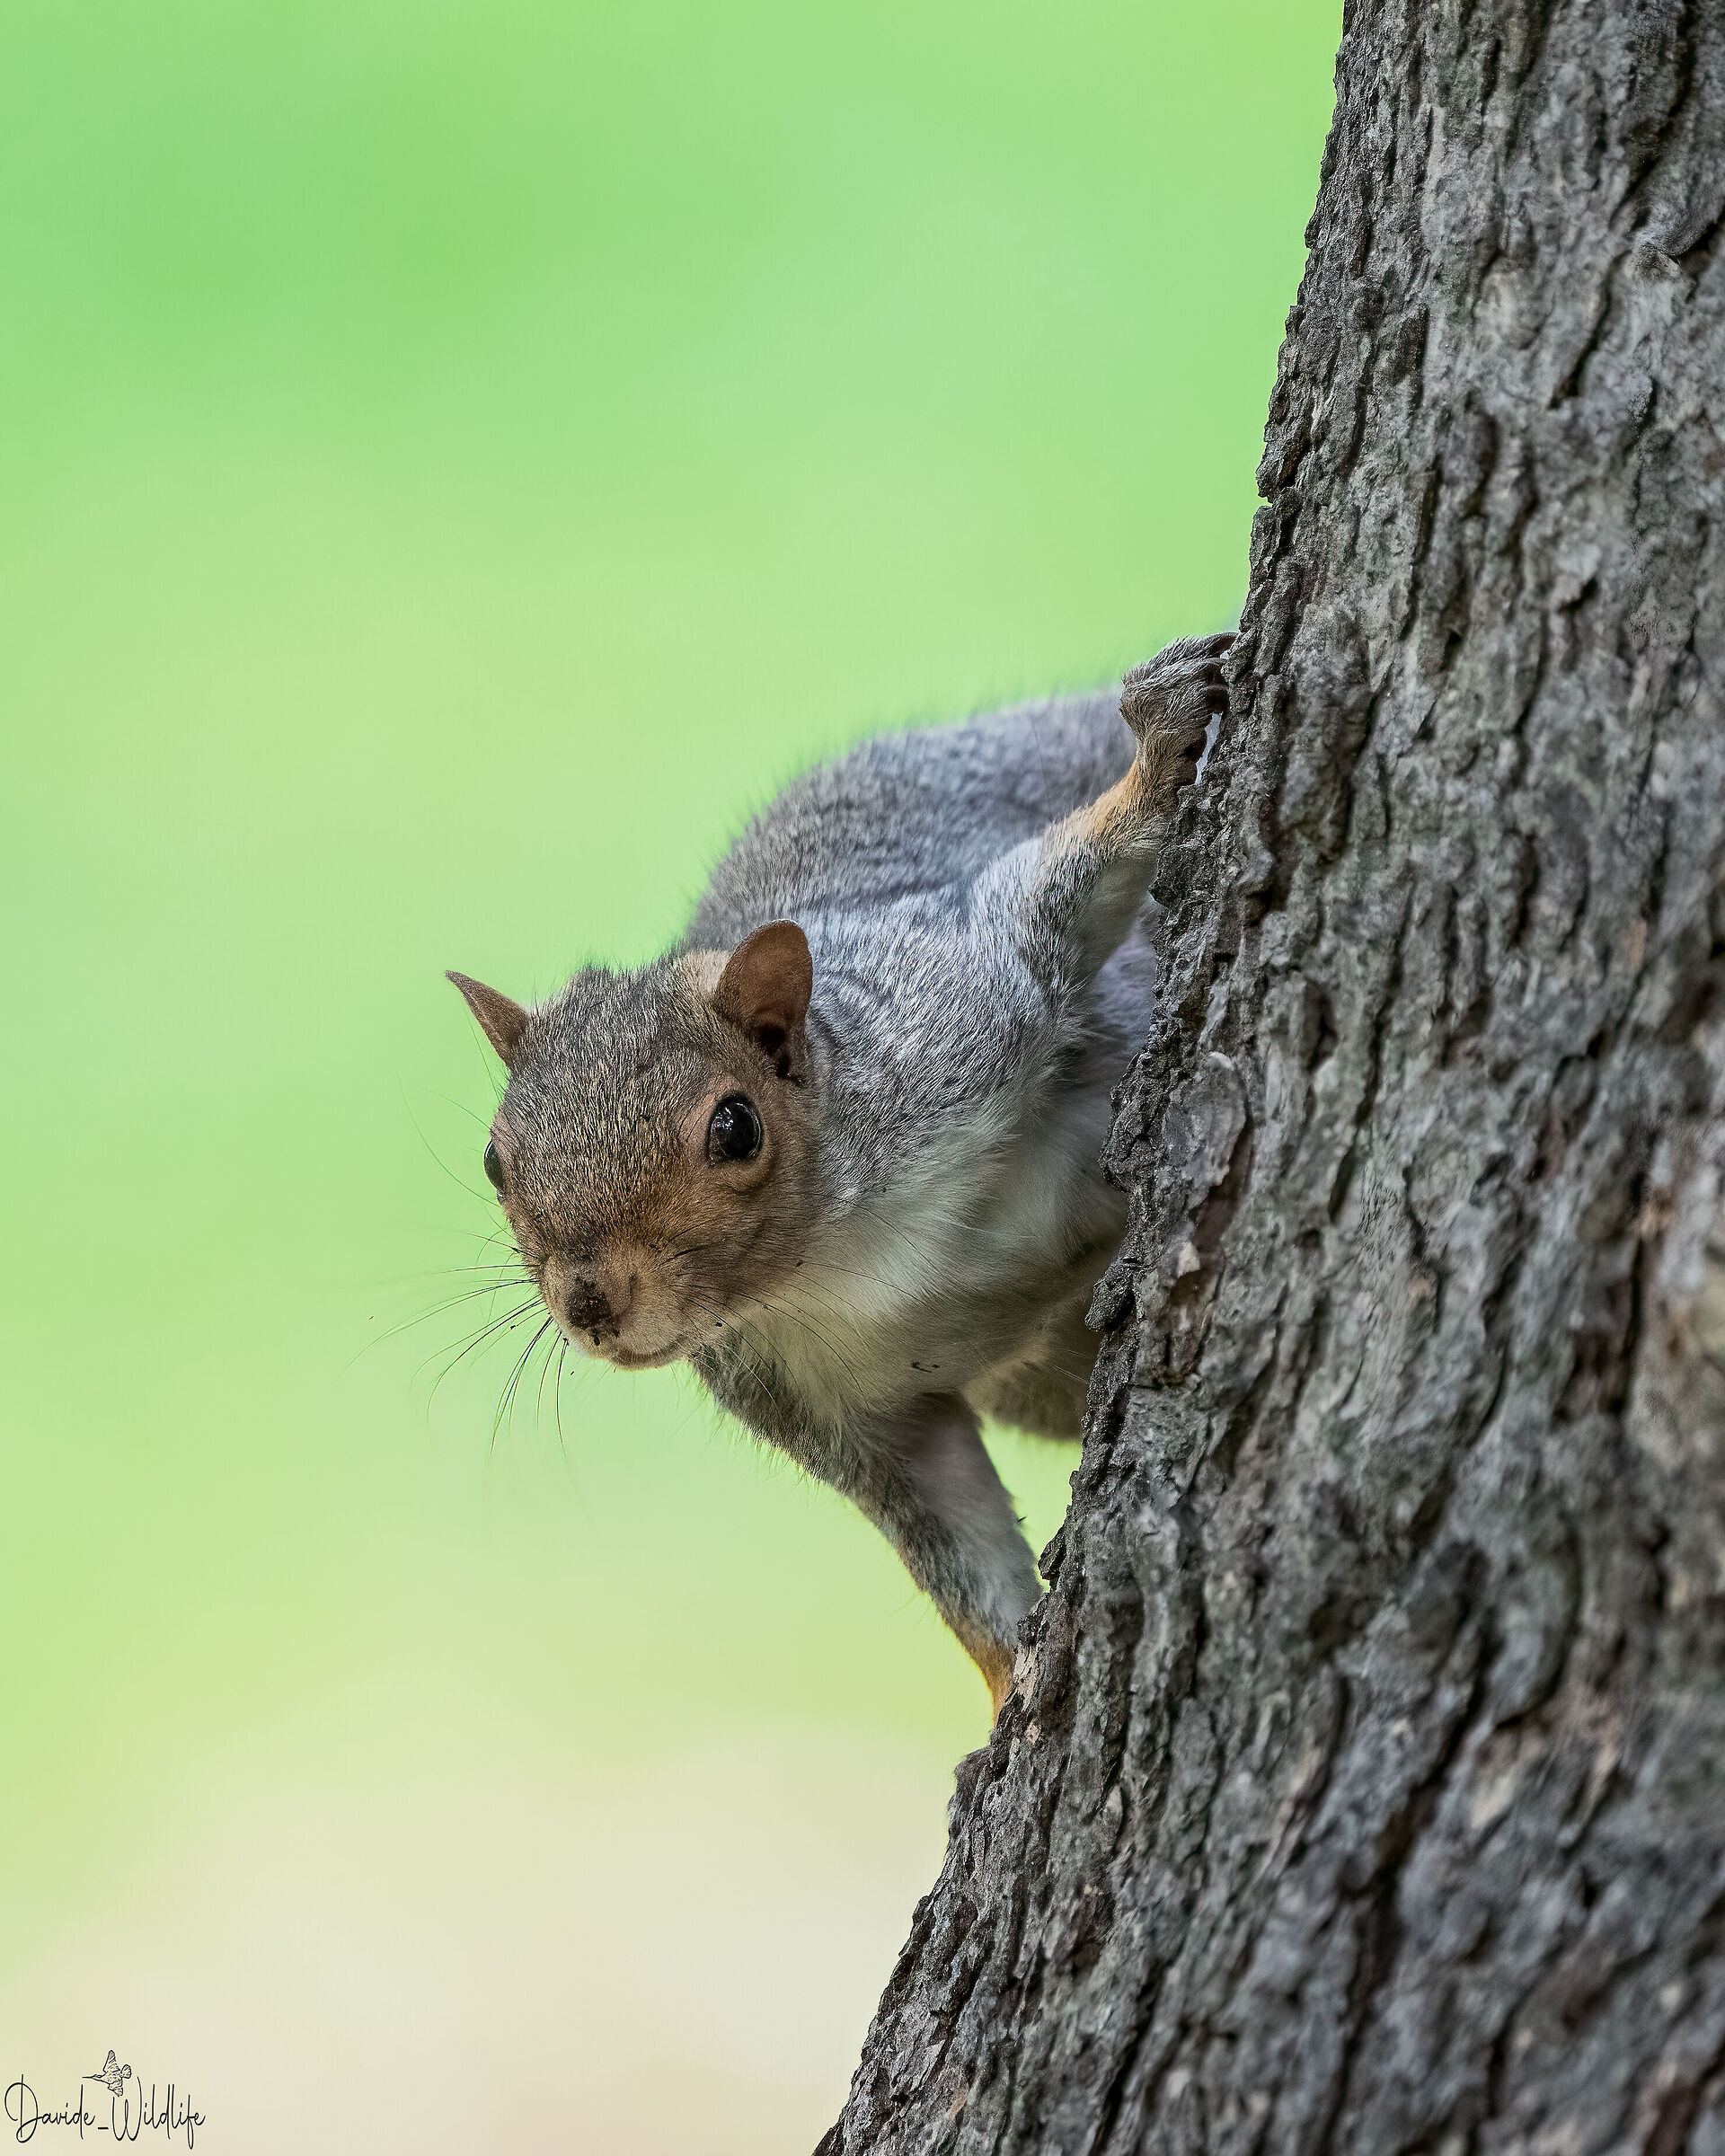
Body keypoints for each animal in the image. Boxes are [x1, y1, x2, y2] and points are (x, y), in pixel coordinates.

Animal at [449, 631, 1231, 1716]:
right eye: (493, 1161)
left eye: (735, 1129)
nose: (592, 1305)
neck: (842, 1257)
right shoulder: (841, 1414)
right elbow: (951, 1545)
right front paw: (1015, 1690)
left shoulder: (956, 1002)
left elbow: (1060, 894)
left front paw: (1158, 750)